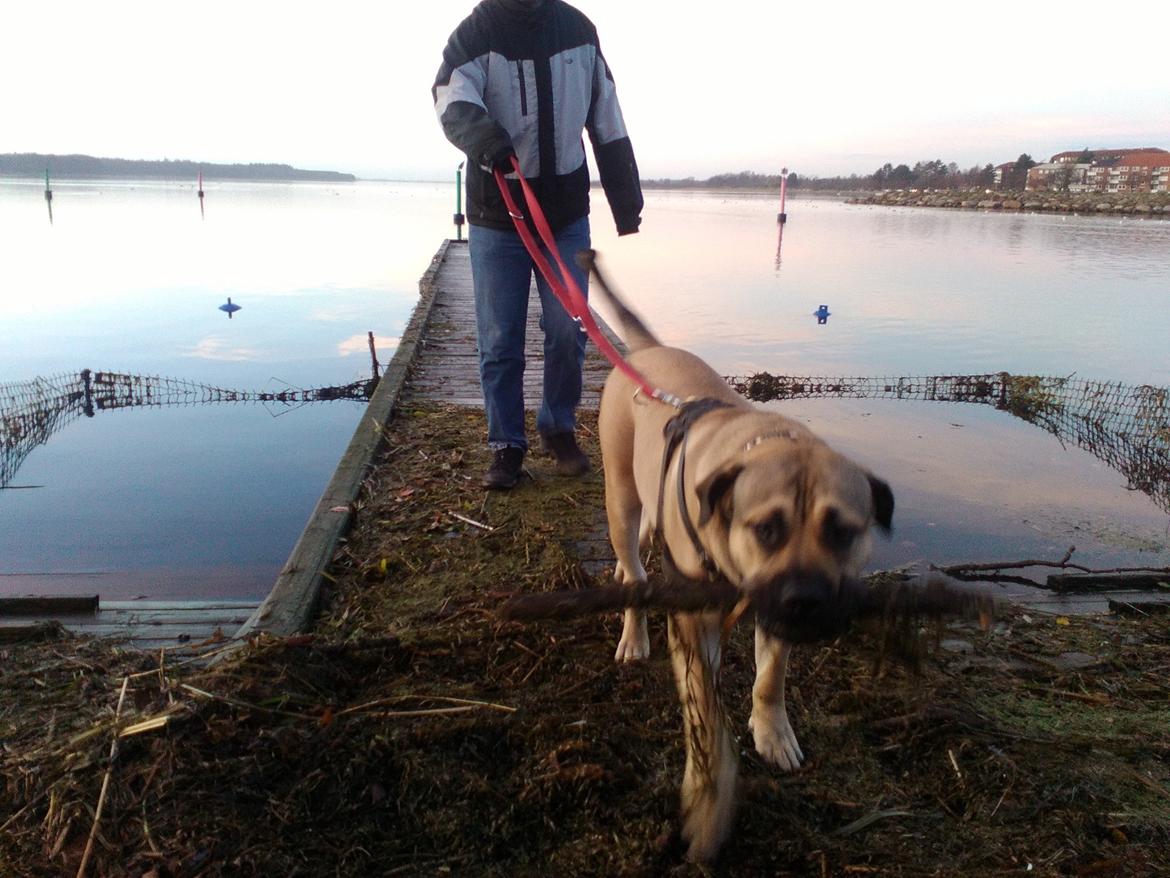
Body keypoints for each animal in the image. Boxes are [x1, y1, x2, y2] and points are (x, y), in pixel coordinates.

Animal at [585, 250, 893, 861]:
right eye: (766, 528)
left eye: (843, 532)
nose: (806, 601)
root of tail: (647, 354)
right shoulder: (696, 617)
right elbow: (704, 704)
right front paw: (710, 795)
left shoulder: (771, 611)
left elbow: (771, 675)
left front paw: (773, 731)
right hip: (621, 497)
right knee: (632, 566)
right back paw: (633, 631)